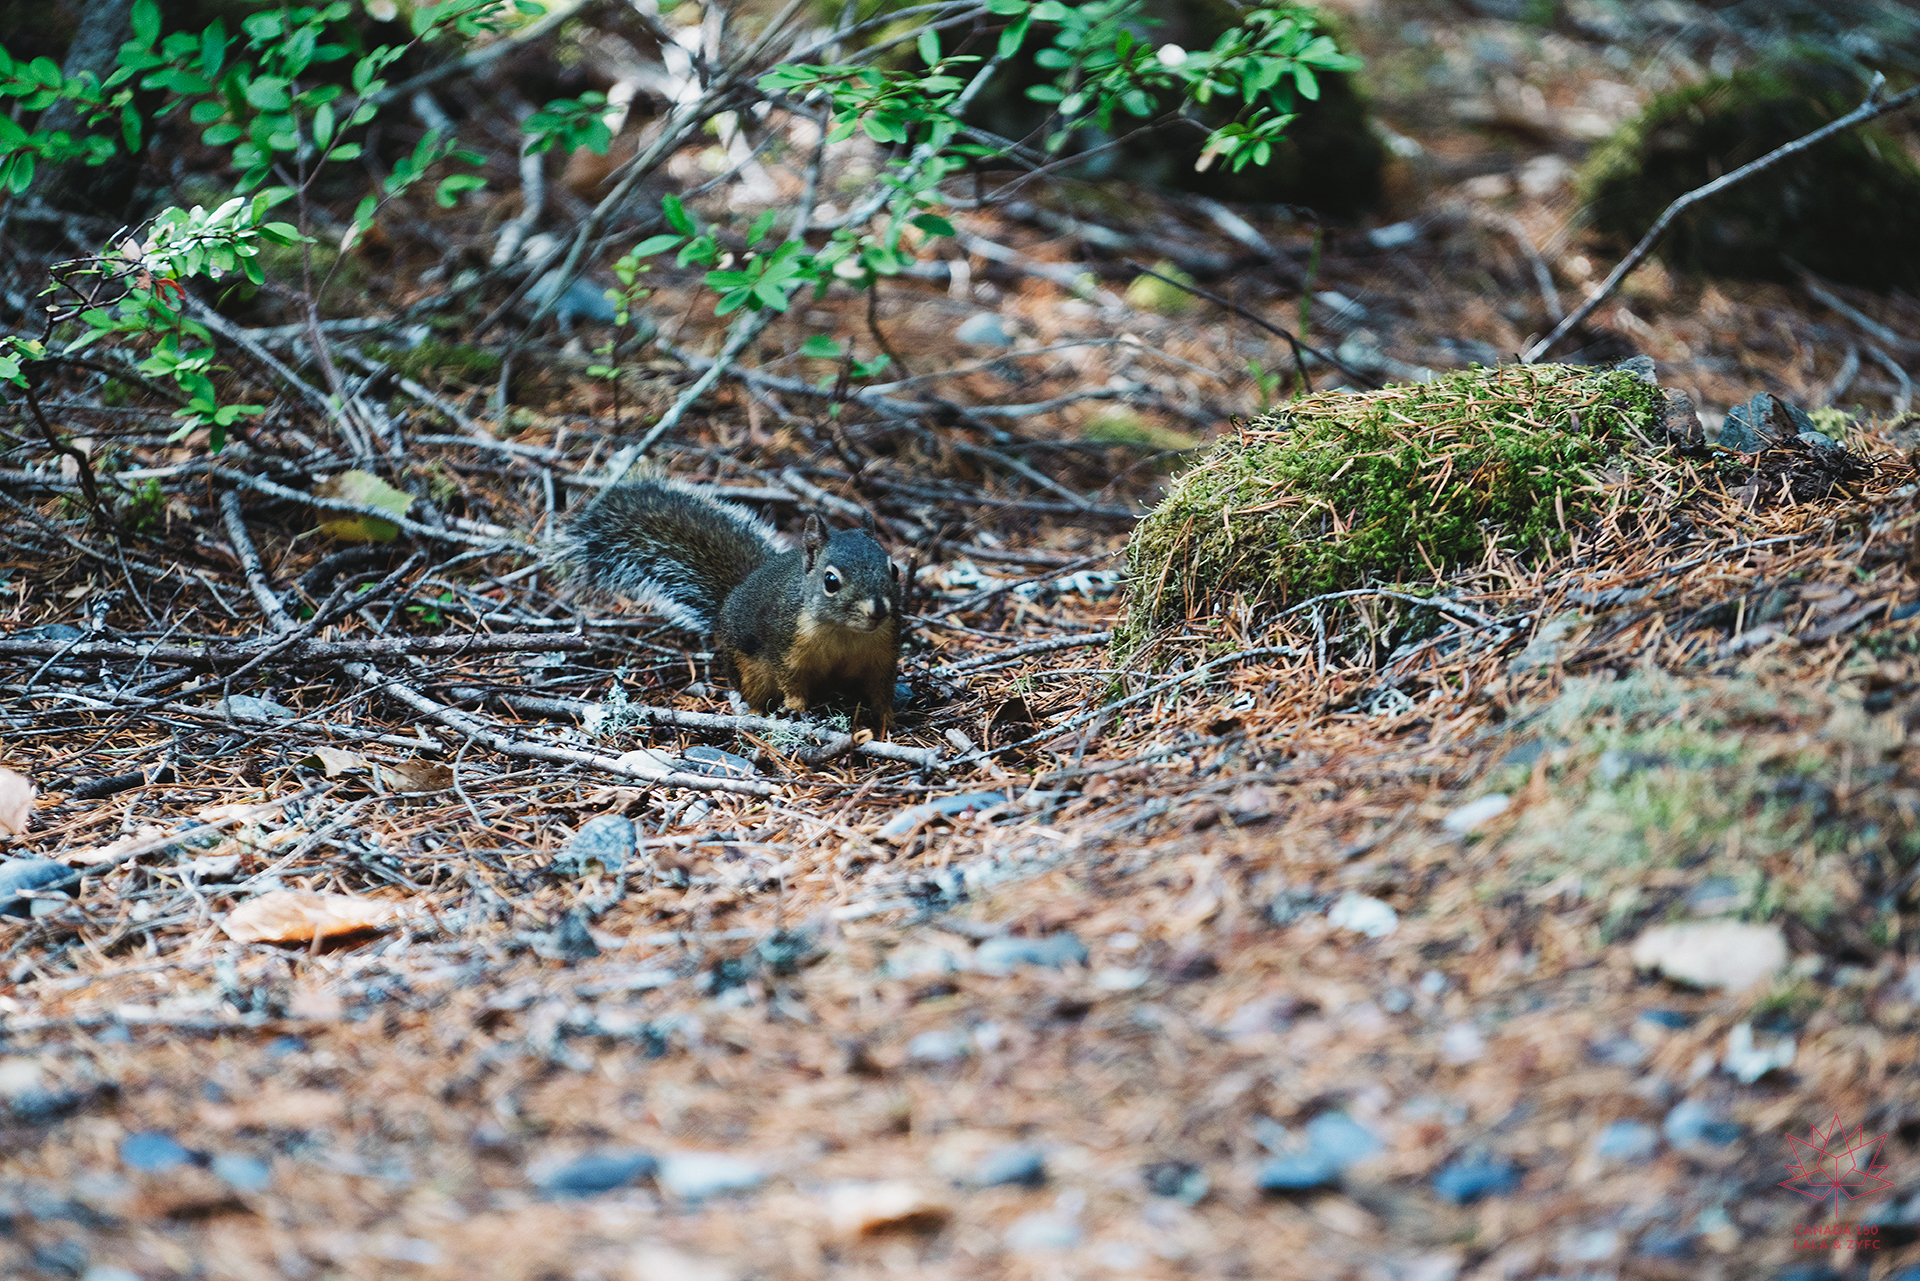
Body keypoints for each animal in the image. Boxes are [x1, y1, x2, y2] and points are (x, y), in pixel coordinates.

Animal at [564, 478, 902, 725]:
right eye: (831, 581)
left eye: (895, 569)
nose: (878, 611)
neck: (845, 632)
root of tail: (732, 595)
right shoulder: (785, 645)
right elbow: (791, 680)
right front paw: (795, 707)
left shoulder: (882, 652)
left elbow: (882, 686)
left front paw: (887, 716)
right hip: (748, 669)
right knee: (754, 692)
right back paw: (755, 713)